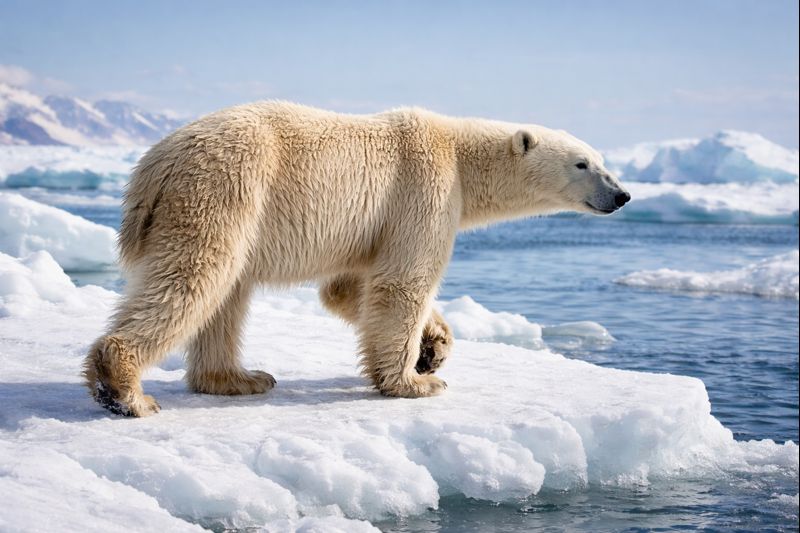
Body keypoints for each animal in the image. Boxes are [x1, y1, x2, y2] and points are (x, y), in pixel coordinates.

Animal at [83, 101, 630, 417]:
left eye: (603, 161)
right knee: (196, 275)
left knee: (226, 294)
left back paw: (239, 379)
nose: (622, 195)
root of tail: (153, 165)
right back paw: (125, 390)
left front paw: (434, 348)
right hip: (225, 188)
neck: (460, 151)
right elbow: (402, 282)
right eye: (583, 164)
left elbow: (349, 289)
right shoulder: (425, 189)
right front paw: (414, 382)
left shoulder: (377, 222)